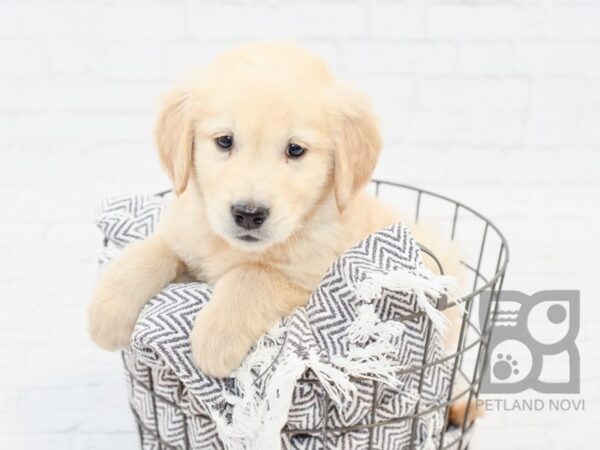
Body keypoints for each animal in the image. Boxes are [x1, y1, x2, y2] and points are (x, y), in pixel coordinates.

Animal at [89, 42, 468, 418]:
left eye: (295, 149)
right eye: (224, 141)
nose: (248, 214)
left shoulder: (312, 280)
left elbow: (252, 276)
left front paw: (214, 336)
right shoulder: (187, 236)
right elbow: (150, 251)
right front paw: (106, 313)